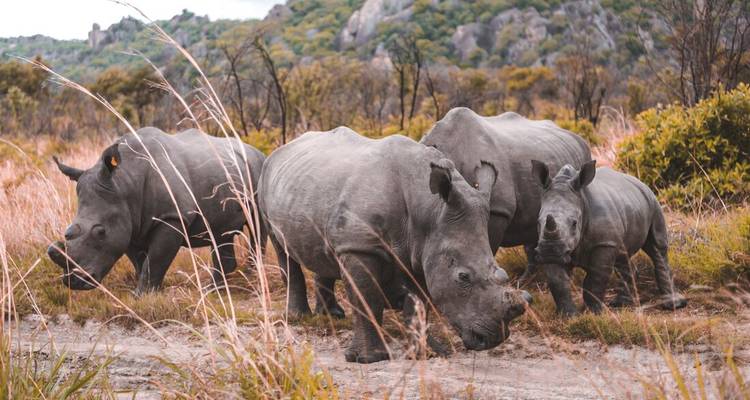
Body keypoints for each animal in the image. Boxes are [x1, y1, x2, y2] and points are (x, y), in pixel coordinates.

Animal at [47, 127, 266, 294]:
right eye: (68, 233)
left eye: (101, 232)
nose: (75, 282)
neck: (124, 182)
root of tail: (255, 149)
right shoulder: (129, 223)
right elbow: (141, 262)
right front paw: (151, 294)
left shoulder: (172, 217)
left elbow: (155, 259)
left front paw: (141, 295)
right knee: (221, 232)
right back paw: (213, 291)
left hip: (258, 168)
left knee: (257, 228)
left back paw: (251, 276)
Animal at [259, 127, 530, 363]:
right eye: (463, 277)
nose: (493, 339)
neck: (429, 209)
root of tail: (282, 148)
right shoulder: (360, 246)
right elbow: (367, 299)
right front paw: (368, 359)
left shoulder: (421, 250)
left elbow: (419, 302)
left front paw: (427, 354)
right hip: (266, 180)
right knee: (282, 249)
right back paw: (297, 317)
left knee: (323, 250)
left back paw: (332, 316)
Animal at [530, 160, 688, 315]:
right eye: (538, 222)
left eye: (574, 223)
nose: (550, 250)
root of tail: (639, 181)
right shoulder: (551, 247)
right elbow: (558, 281)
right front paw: (569, 316)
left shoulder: (604, 243)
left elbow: (595, 279)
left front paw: (595, 313)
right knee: (623, 256)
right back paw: (622, 303)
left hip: (653, 202)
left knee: (656, 248)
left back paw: (674, 305)